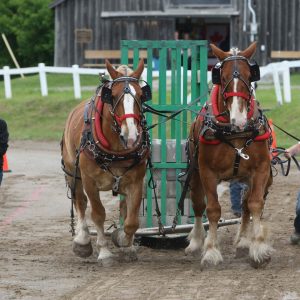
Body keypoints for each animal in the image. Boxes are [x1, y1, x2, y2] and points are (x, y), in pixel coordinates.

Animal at [61, 59, 150, 262]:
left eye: (142, 95)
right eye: (113, 96)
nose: (131, 136)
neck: (115, 150)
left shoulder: (136, 182)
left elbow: (132, 220)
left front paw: (125, 241)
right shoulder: (90, 182)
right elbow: (98, 214)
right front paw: (104, 251)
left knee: (123, 208)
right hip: (73, 174)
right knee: (80, 203)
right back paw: (83, 240)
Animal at [186, 42, 274, 268]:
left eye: (250, 76)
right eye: (222, 77)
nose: (239, 120)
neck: (234, 132)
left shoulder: (261, 169)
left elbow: (255, 204)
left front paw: (257, 248)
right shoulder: (207, 172)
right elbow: (213, 210)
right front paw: (210, 251)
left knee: (245, 204)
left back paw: (243, 241)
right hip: (195, 174)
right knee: (198, 204)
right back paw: (196, 240)